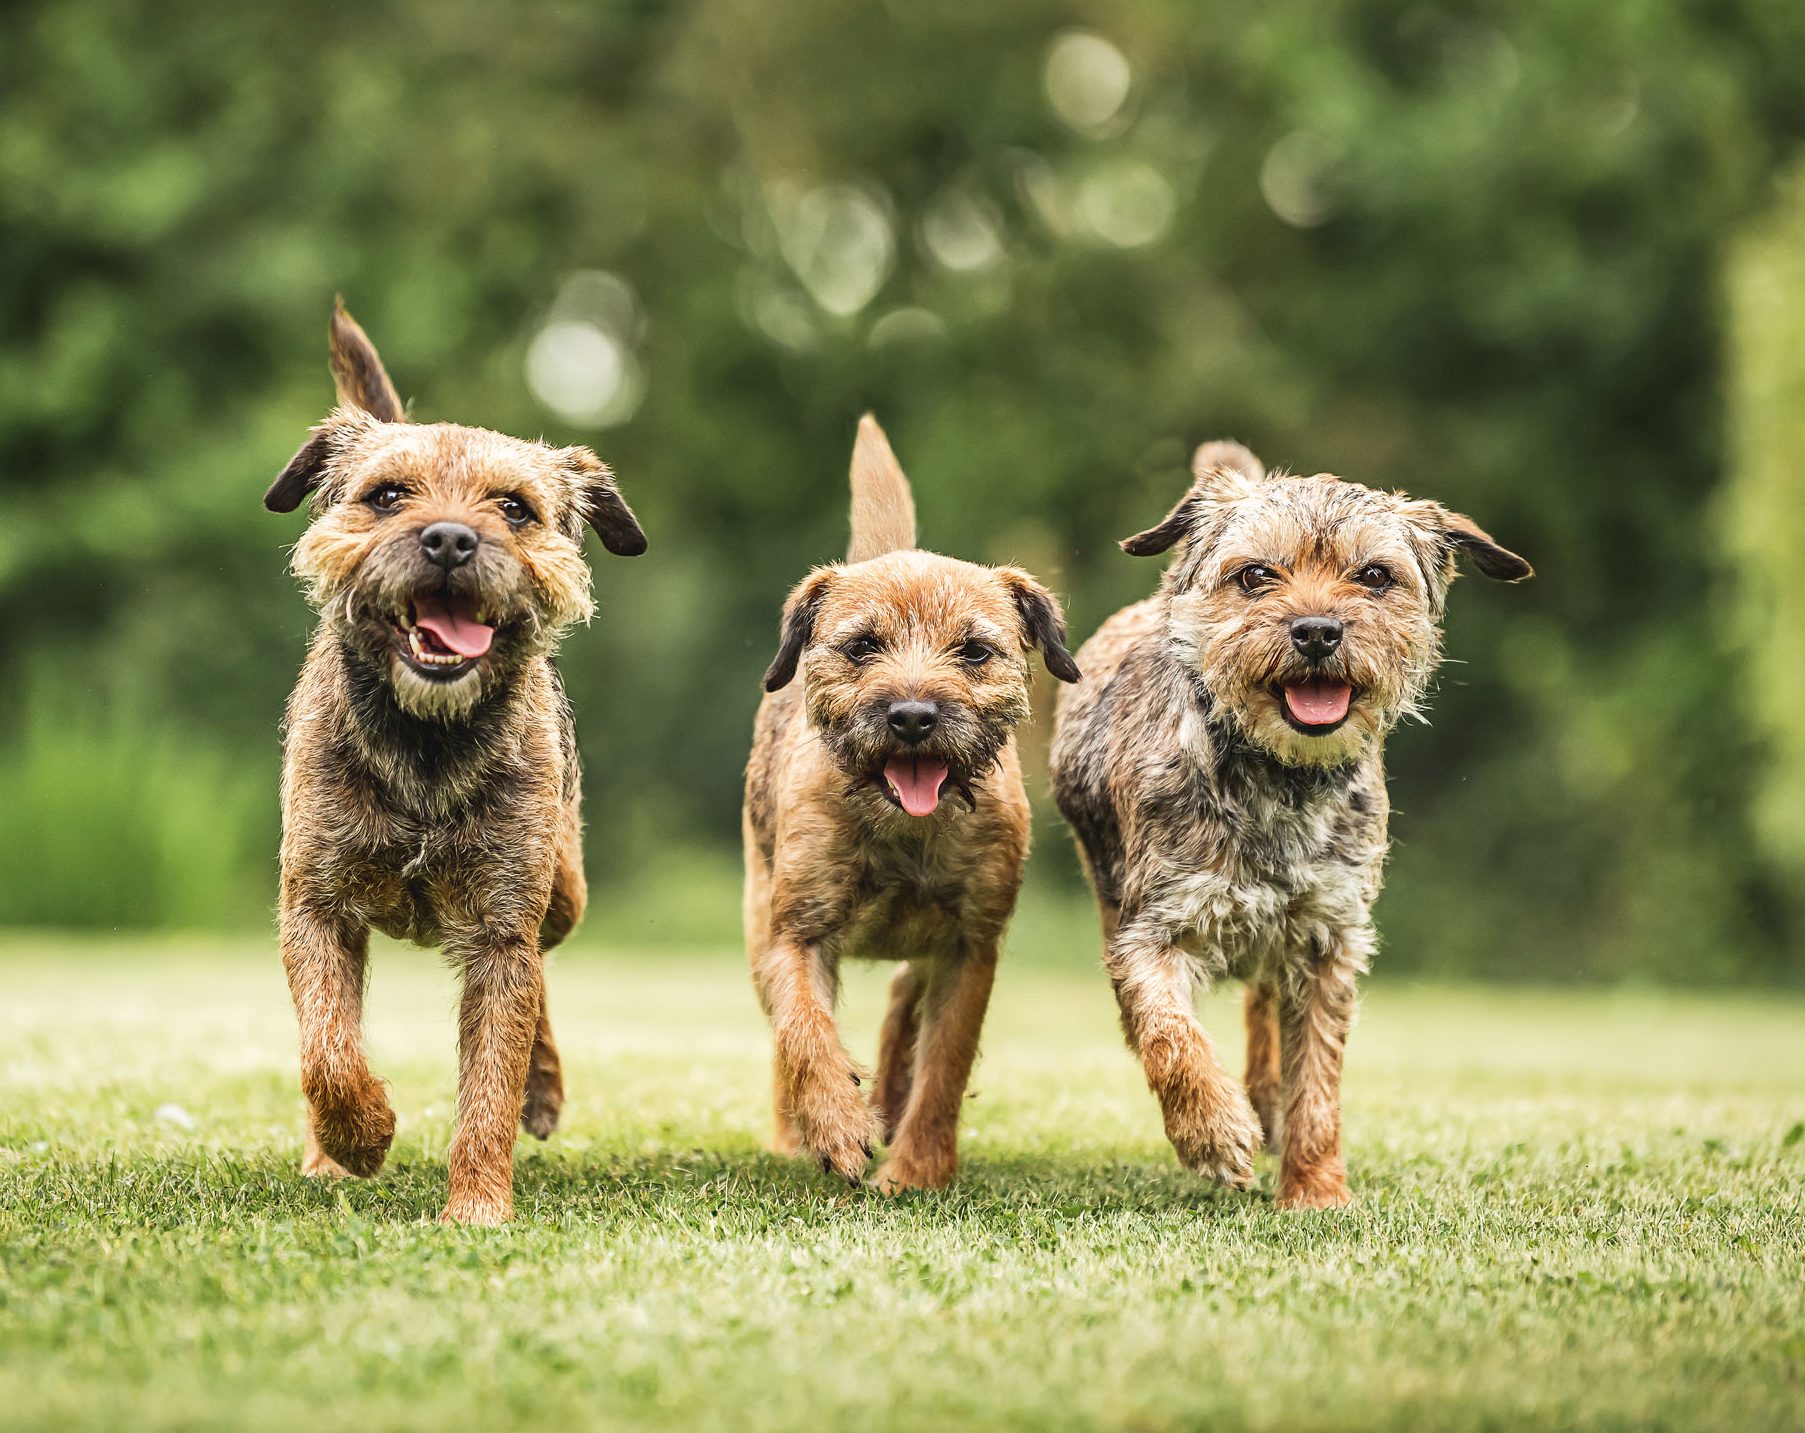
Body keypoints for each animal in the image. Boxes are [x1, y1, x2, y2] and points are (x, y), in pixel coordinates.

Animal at [261, 299, 642, 1220]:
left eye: (515, 507)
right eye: (386, 496)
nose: (447, 539)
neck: (426, 748)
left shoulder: (503, 928)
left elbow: (490, 1083)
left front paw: (474, 1209)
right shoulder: (315, 907)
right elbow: (327, 1049)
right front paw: (358, 1137)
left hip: (562, 892)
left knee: (541, 981)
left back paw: (543, 1088)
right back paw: (326, 1152)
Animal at [743, 418, 1075, 1191]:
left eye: (974, 652)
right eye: (862, 646)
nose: (913, 715)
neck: (904, 831)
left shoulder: (968, 949)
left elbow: (945, 1063)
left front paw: (916, 1168)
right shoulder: (793, 934)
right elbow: (804, 1030)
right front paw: (837, 1125)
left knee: (902, 1006)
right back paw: (799, 1129)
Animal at [1054, 438, 1530, 1205]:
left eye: (1374, 576)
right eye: (1255, 575)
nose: (1316, 630)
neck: (1280, 780)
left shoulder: (1327, 940)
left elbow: (1318, 1079)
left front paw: (1315, 1189)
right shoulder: (1152, 929)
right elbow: (1168, 1033)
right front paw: (1213, 1131)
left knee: (1263, 1011)